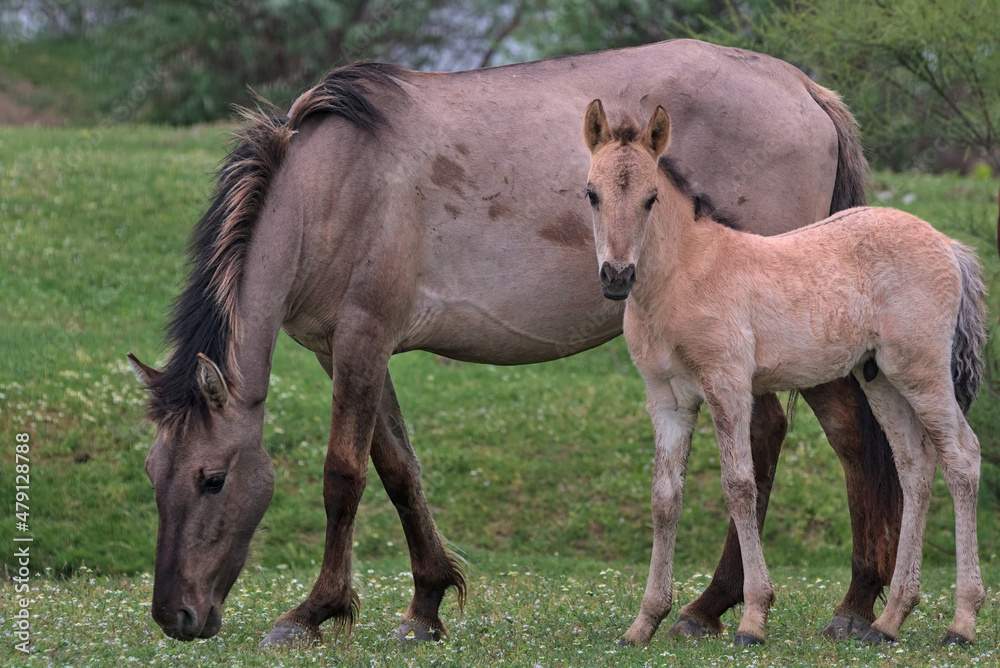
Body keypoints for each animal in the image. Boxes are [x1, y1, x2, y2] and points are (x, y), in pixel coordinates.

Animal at [127, 38, 900, 648]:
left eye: (212, 478)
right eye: (154, 475)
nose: (175, 616)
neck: (336, 185)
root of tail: (803, 89)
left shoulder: (361, 341)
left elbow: (343, 476)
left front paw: (312, 611)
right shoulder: (346, 351)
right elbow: (398, 469)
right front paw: (426, 603)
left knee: (845, 435)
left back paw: (851, 605)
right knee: (770, 435)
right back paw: (711, 608)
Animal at [582, 100, 987, 646]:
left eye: (650, 199)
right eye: (592, 195)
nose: (617, 277)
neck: (685, 274)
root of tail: (948, 245)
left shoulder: (728, 384)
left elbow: (739, 486)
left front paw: (752, 618)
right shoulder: (667, 399)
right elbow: (665, 498)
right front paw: (644, 622)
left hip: (921, 371)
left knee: (962, 457)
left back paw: (961, 622)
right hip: (880, 378)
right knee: (915, 467)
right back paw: (889, 619)